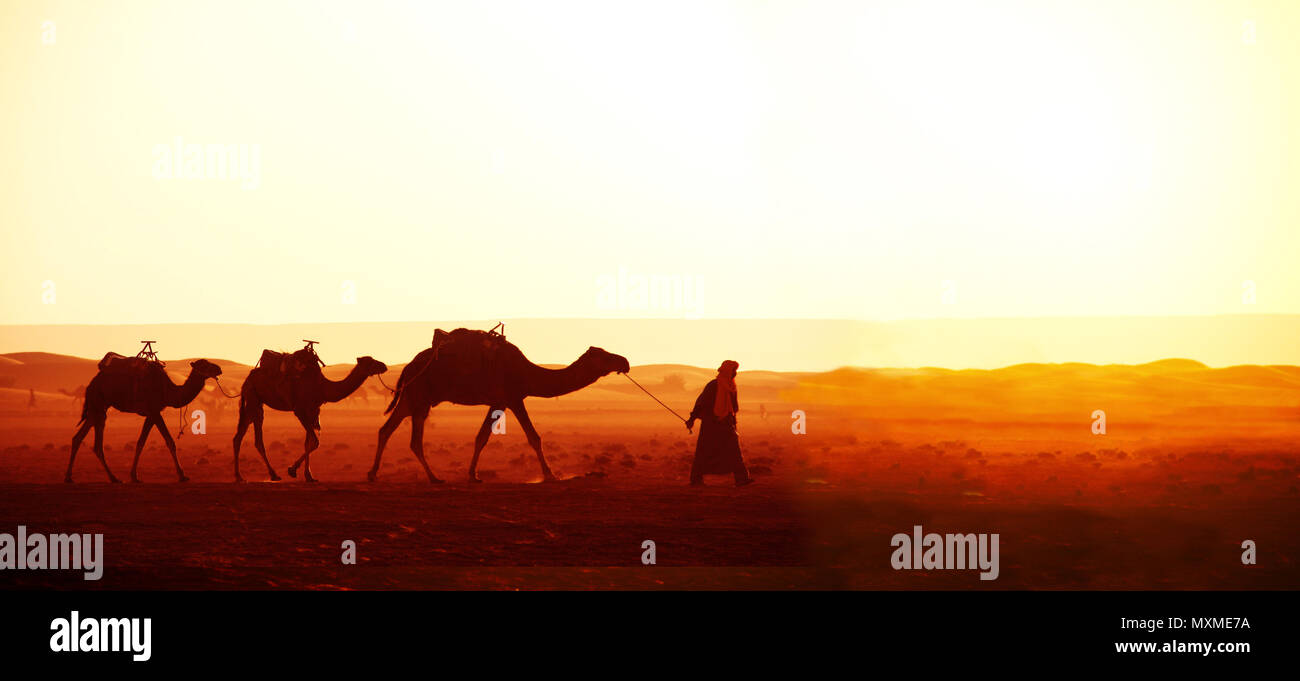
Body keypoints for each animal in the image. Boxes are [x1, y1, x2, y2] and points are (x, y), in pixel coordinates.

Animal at [66, 356, 223, 483]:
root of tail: (90, 385)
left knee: (79, 438)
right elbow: (170, 441)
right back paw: (113, 478)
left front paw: (134, 476)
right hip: (98, 405)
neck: (168, 391)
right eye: (204, 365)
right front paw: (182, 476)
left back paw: (70, 477)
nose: (219, 369)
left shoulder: (151, 414)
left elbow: (141, 442)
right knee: (96, 444)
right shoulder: (154, 411)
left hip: (96, 409)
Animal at [233, 348, 384, 480]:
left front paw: (308, 476)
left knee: (241, 436)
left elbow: (308, 442)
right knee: (254, 438)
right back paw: (251, 476)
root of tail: (248, 378)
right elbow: (315, 442)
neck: (323, 387)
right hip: (253, 398)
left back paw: (250, 476)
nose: (383, 366)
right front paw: (292, 470)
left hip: (255, 403)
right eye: (370, 362)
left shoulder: (312, 410)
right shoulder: (300, 410)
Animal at [366, 328, 629, 483]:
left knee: (386, 430)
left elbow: (481, 437)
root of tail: (409, 366)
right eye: (605, 356)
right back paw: (433, 477)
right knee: (413, 440)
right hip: (420, 397)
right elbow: (533, 437)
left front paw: (473, 474)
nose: (625, 361)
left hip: (411, 397)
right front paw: (550, 474)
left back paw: (373, 473)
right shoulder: (512, 398)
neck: (527, 372)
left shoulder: (498, 401)